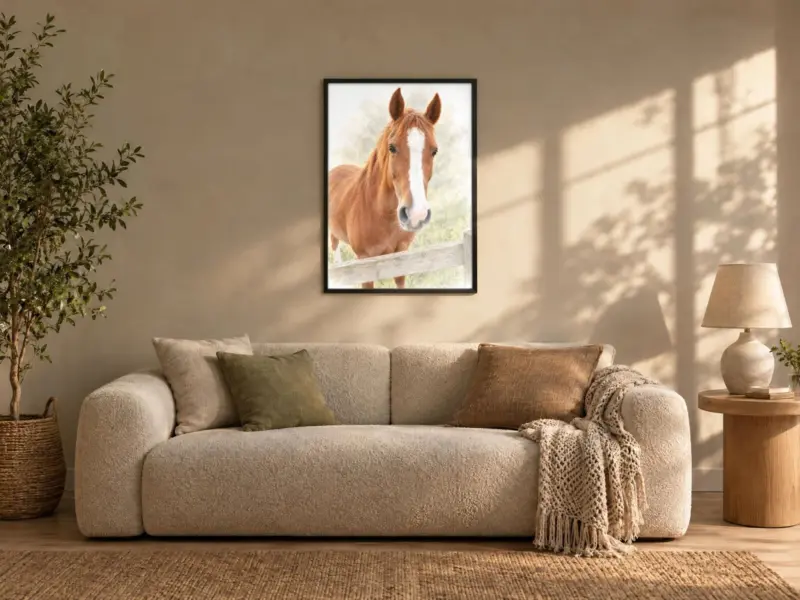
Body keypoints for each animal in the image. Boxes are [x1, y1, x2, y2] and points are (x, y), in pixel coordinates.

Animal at [328, 87, 441, 289]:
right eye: (392, 147)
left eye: (434, 151)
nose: (416, 214)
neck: (381, 214)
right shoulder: (365, 264)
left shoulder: (401, 258)